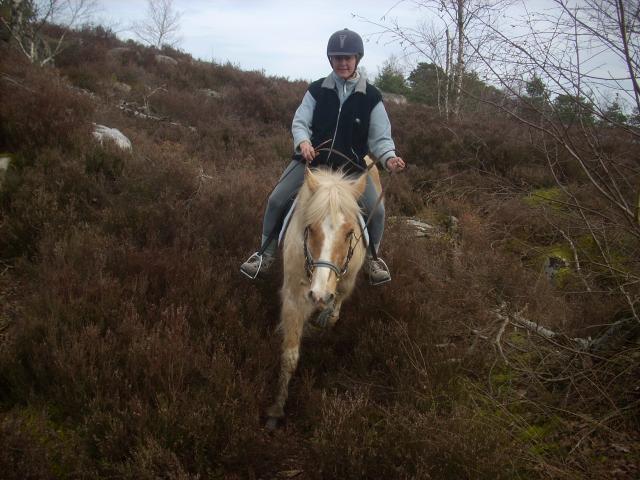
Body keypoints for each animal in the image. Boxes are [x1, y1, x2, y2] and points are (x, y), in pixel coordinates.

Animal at [264, 162, 380, 428]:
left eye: (349, 233)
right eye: (310, 228)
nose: (319, 294)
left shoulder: (345, 286)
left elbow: (334, 313)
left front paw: (322, 320)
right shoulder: (294, 298)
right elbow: (290, 355)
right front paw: (276, 410)